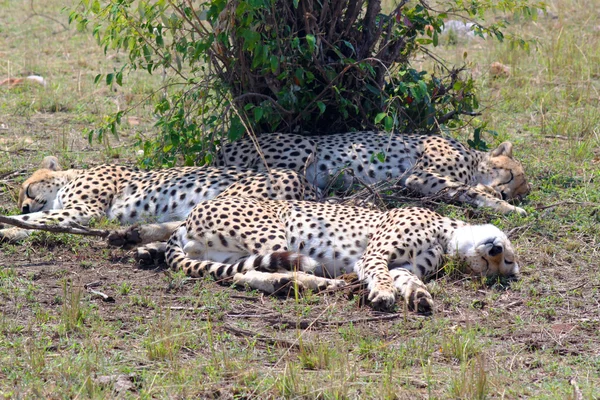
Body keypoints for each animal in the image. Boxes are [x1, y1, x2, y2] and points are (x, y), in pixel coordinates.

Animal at [0, 156, 316, 242]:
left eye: (28, 189)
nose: (25, 203)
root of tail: (309, 186)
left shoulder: (84, 208)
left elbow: (39, 219)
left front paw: (10, 229)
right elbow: (37, 219)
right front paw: (15, 225)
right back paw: (135, 236)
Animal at [162, 198, 516, 314]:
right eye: (502, 261)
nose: (495, 249)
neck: (449, 236)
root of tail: (185, 221)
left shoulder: (403, 266)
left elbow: (406, 278)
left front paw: (419, 297)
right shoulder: (374, 256)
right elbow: (380, 274)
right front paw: (383, 294)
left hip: (229, 255)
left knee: (242, 273)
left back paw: (307, 284)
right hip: (272, 232)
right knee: (253, 269)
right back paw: (315, 283)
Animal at [214, 132, 528, 214]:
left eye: (520, 191)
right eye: (512, 177)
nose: (506, 194)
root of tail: (222, 146)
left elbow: (467, 192)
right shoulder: (417, 175)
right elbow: (469, 190)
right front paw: (506, 206)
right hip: (304, 148)